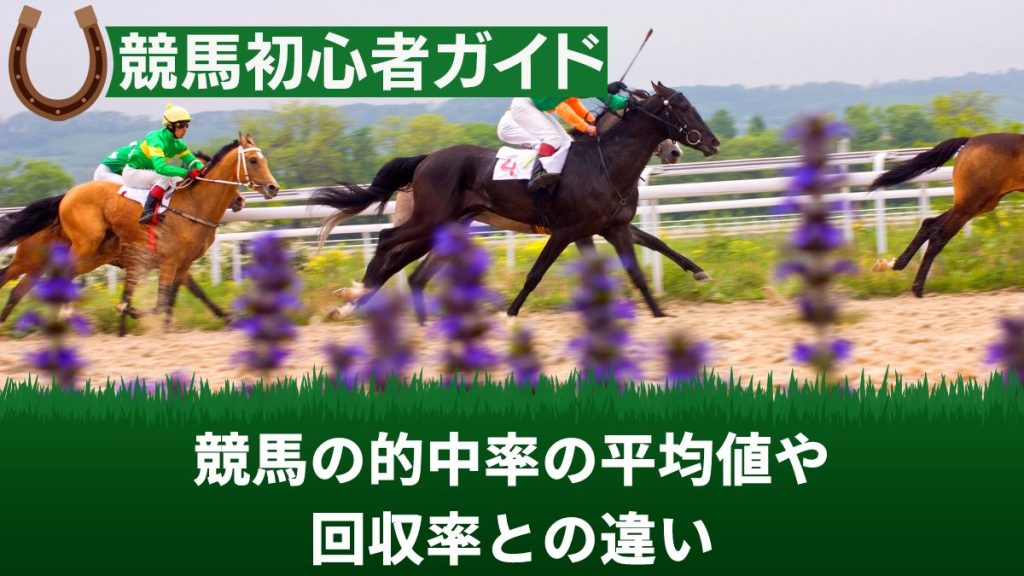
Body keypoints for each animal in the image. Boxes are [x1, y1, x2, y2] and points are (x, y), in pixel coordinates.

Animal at [0, 133, 279, 334]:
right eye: (253, 160)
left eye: (264, 160)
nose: (273, 187)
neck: (192, 204)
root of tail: (65, 197)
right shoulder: (166, 261)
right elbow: (159, 302)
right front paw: (131, 314)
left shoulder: (180, 263)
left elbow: (185, 295)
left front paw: (228, 318)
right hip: (54, 253)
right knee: (14, 279)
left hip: (80, 256)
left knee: (24, 289)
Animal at [312, 82, 719, 318]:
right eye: (681, 107)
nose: (711, 142)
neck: (605, 162)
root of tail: (426, 159)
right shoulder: (569, 230)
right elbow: (536, 274)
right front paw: (511, 313)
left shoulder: (611, 227)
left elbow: (645, 258)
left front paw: (674, 298)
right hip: (429, 220)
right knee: (387, 243)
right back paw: (357, 297)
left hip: (446, 228)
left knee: (410, 272)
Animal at [869, 133, 1023, 297]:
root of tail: (971, 140)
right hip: (972, 203)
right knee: (939, 237)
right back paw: (917, 288)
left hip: (978, 203)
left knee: (930, 223)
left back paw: (894, 265)